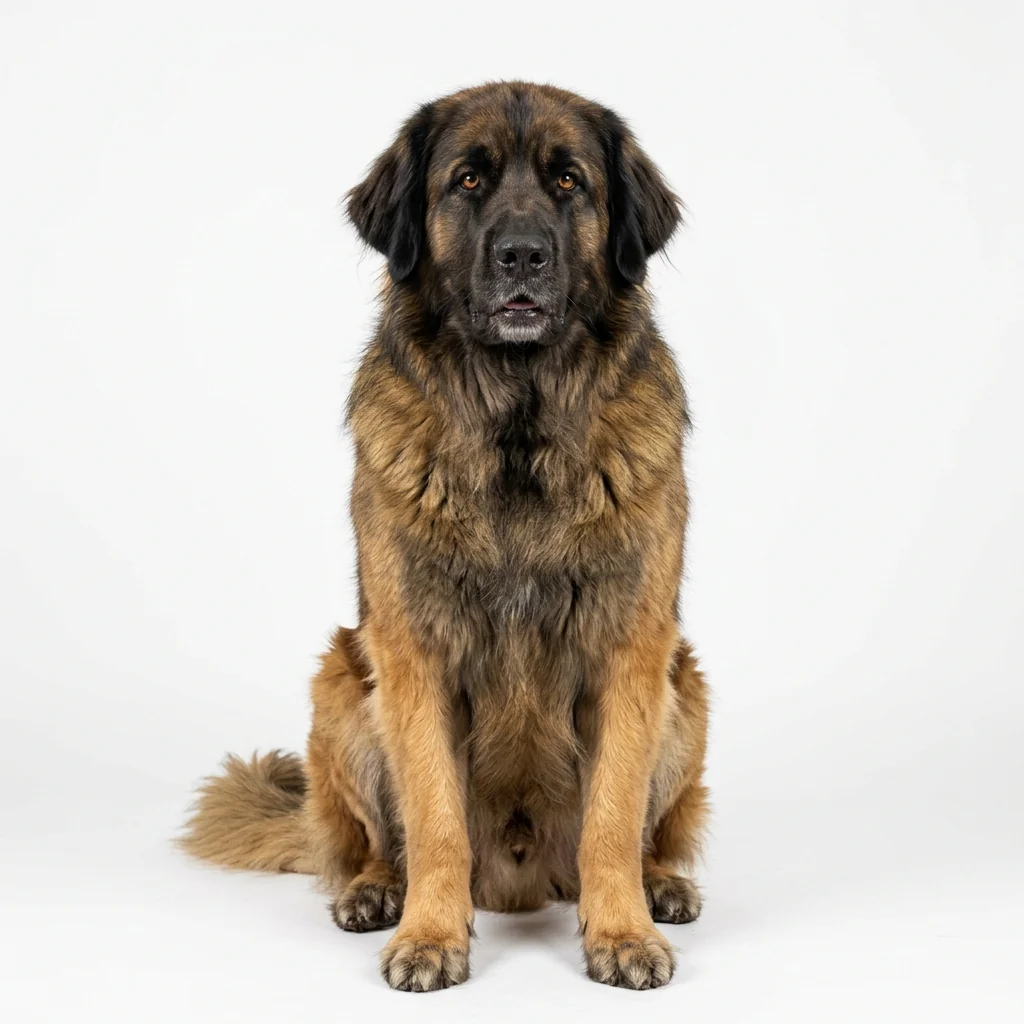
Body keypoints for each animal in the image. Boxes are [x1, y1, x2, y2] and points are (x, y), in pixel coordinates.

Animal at [181, 81, 709, 992]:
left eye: (569, 182)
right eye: (468, 180)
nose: (524, 256)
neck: (517, 431)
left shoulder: (631, 650)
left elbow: (611, 819)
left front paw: (622, 932)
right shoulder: (414, 654)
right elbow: (432, 818)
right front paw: (429, 934)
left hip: (686, 692)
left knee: (647, 832)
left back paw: (660, 885)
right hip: (342, 686)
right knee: (370, 841)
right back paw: (374, 890)